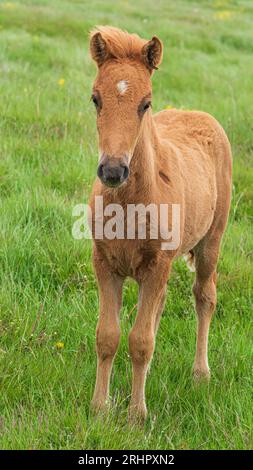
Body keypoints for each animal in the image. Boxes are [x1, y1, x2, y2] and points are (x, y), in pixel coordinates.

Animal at [88, 24, 232, 422]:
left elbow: (140, 341)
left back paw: (201, 373)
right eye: (95, 99)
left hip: (211, 241)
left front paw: (137, 415)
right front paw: (100, 407)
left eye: (145, 103)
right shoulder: (105, 263)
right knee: (160, 306)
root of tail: (201, 114)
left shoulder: (156, 266)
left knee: (205, 295)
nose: (113, 170)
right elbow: (108, 336)